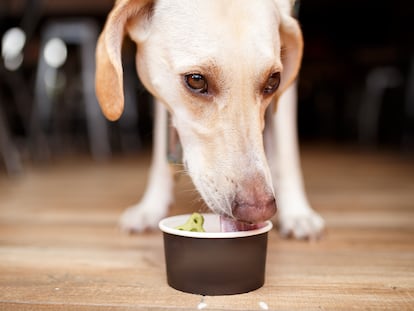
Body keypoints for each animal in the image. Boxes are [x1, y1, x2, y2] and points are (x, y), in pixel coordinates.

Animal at [95, 0, 326, 240]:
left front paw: (298, 212)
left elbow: (287, 152)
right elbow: (161, 153)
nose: (259, 210)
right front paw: (151, 206)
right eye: (196, 80)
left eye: (273, 81)